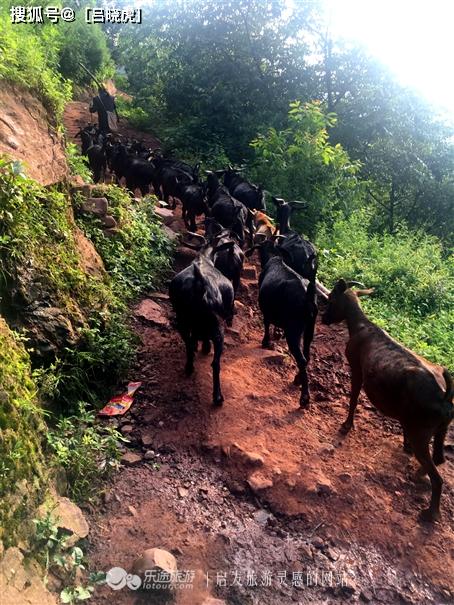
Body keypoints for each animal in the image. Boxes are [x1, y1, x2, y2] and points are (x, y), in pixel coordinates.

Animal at [169, 252, 234, 404]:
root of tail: (200, 283)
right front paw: (205, 347)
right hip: (218, 331)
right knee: (215, 363)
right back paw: (217, 397)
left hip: (182, 321)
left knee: (188, 345)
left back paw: (189, 367)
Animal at [320, 278, 452, 520]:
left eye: (332, 299)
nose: (324, 319)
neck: (361, 325)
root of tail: (444, 396)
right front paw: (404, 444)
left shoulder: (356, 368)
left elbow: (353, 397)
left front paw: (346, 425)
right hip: (441, 429)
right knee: (438, 459)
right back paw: (419, 475)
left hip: (422, 432)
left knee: (438, 478)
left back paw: (430, 513)